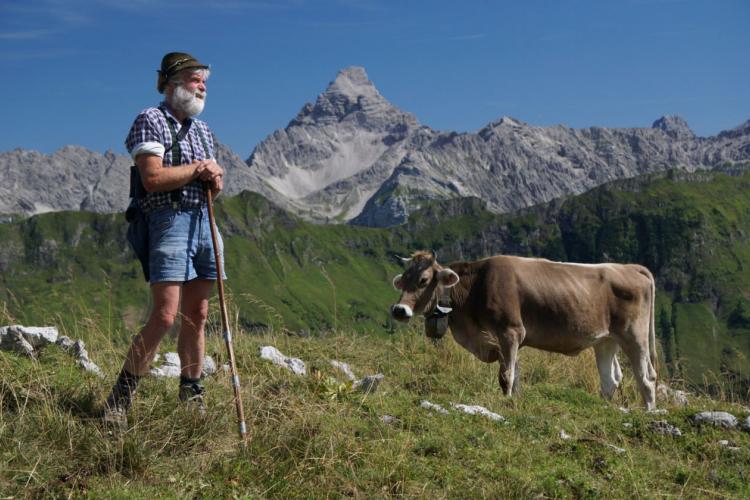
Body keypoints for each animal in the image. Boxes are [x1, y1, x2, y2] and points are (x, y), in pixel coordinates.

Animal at [394, 252, 656, 408]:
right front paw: (516, 401)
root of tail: (629, 268)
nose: (399, 310)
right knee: (610, 380)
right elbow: (516, 374)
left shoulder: (510, 331)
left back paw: (649, 412)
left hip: (634, 335)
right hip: (606, 340)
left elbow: (506, 375)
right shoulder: (505, 340)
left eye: (423, 280)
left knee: (646, 378)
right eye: (403, 280)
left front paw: (507, 402)